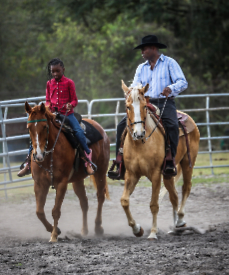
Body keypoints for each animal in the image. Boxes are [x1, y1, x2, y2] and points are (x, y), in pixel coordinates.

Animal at [25, 101, 109, 242]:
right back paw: (84, 230)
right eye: (29, 127)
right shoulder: (39, 184)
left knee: (100, 197)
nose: (38, 155)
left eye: (45, 127)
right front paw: (55, 230)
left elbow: (56, 211)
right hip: (77, 180)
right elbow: (39, 212)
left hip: (101, 172)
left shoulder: (62, 183)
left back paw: (98, 228)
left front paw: (54, 236)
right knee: (84, 202)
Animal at [121, 81, 199, 239]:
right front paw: (137, 229)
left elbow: (154, 204)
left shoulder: (156, 174)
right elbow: (125, 201)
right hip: (168, 174)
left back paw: (180, 220)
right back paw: (175, 227)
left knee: (186, 187)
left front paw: (153, 232)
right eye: (128, 106)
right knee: (174, 195)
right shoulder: (131, 174)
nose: (139, 133)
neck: (140, 144)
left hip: (188, 163)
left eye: (144, 106)